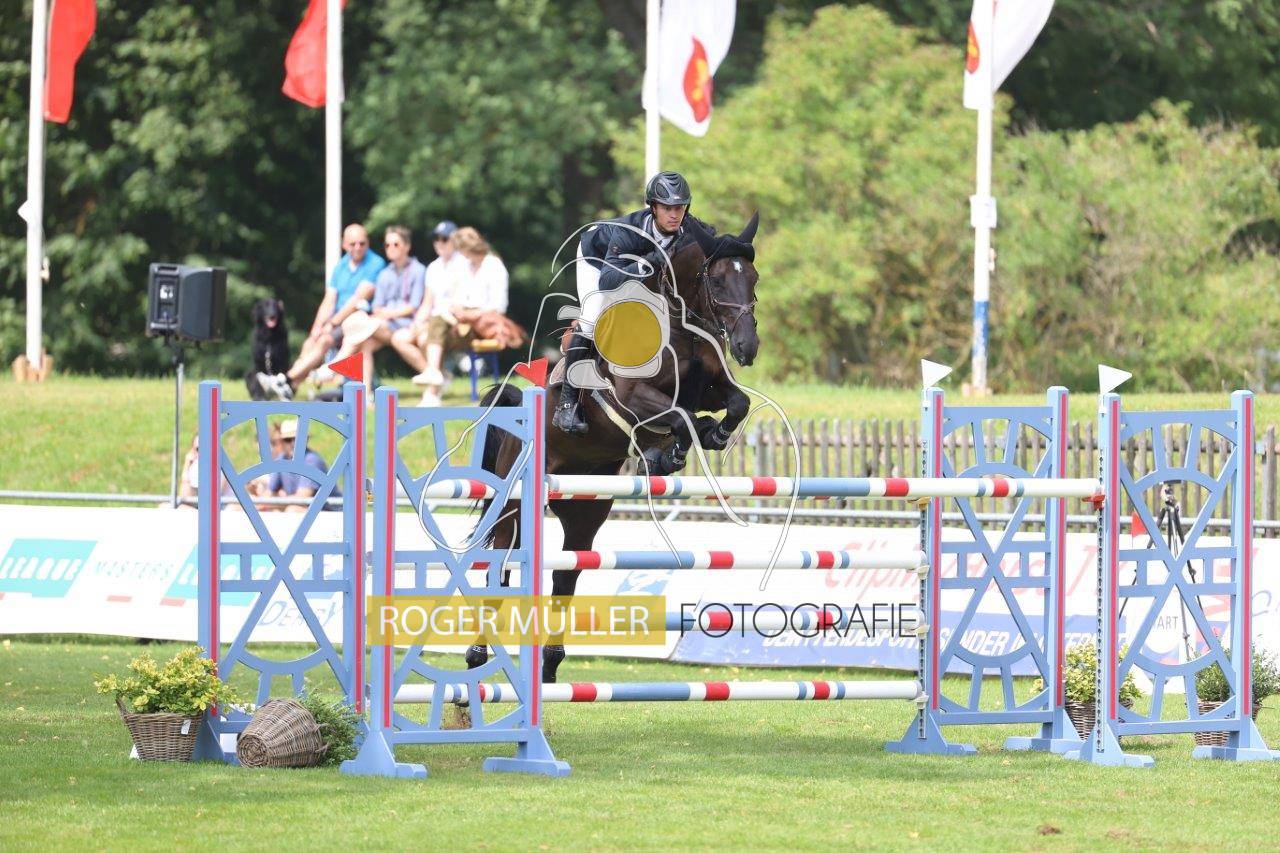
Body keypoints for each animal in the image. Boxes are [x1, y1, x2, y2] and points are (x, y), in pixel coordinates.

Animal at [470, 214, 762, 681]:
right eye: (716, 280)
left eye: (753, 278)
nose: (746, 347)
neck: (680, 327)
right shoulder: (630, 397)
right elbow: (681, 416)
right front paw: (675, 449)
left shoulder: (712, 387)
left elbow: (735, 403)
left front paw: (705, 438)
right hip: (514, 505)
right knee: (500, 567)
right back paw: (478, 655)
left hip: (585, 511)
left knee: (565, 578)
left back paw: (549, 667)